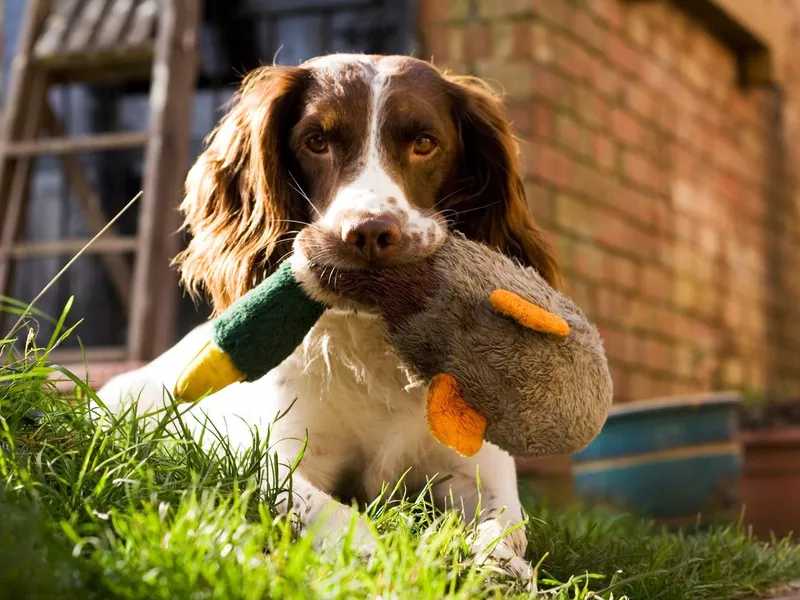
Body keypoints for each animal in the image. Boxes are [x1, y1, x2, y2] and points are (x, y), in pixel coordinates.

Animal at [98, 54, 556, 580]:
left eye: (424, 143)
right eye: (316, 141)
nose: (370, 233)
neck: (372, 349)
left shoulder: (477, 470)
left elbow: (502, 524)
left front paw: (498, 567)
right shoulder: (273, 461)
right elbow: (334, 514)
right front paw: (379, 564)